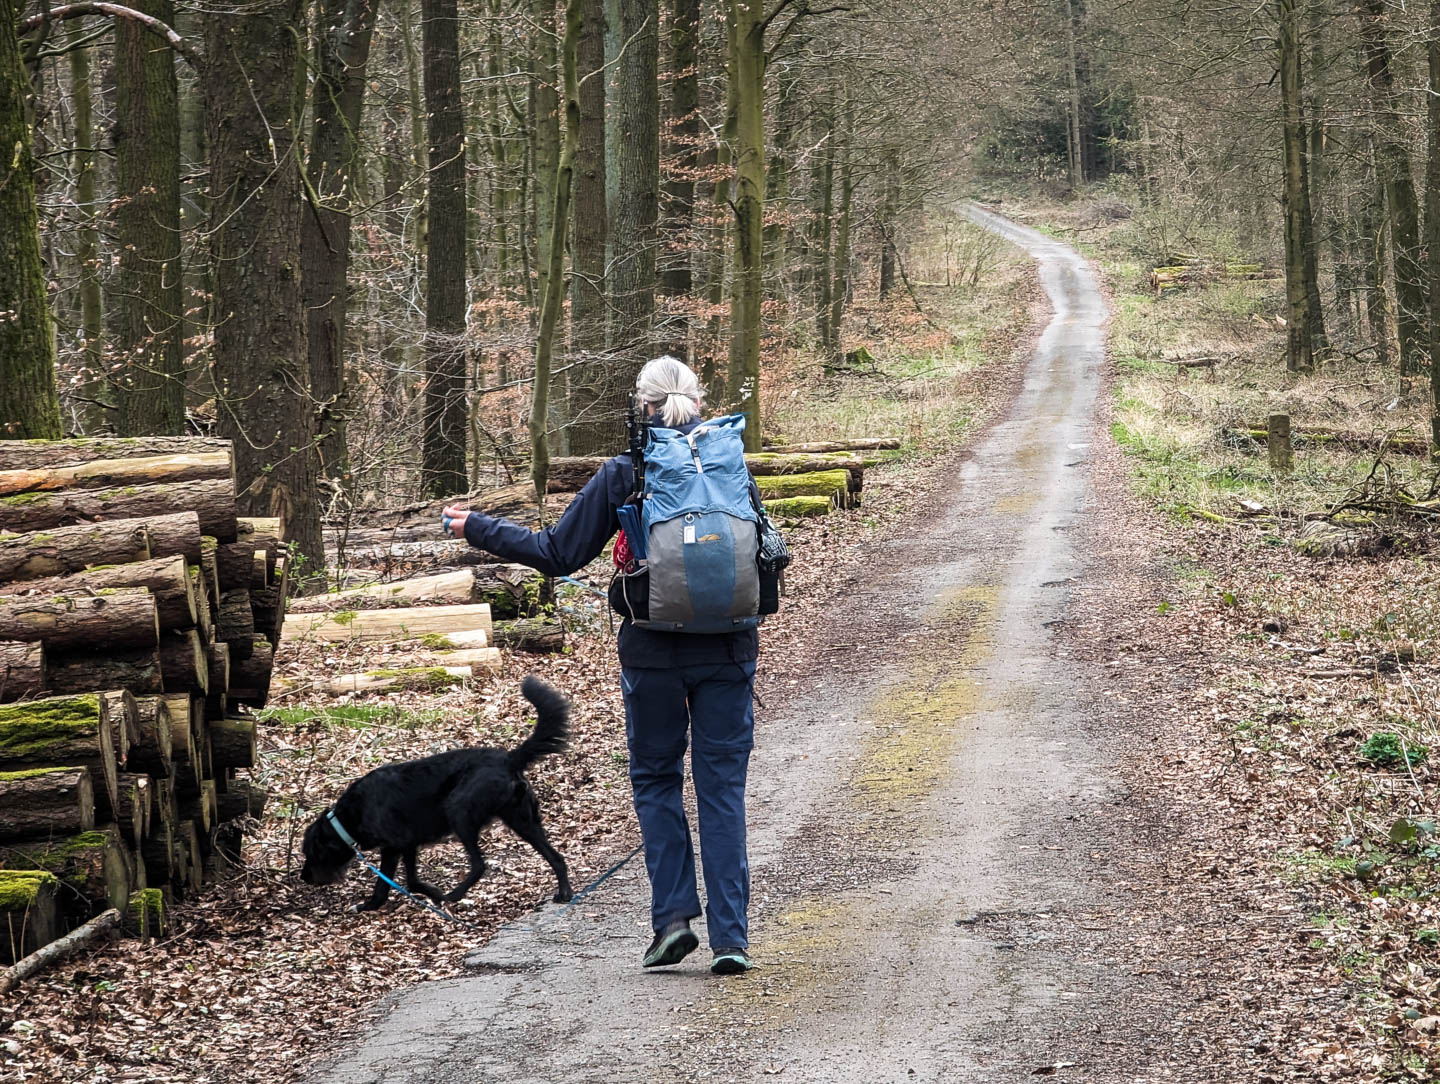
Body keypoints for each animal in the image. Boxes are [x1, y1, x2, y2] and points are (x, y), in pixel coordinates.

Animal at [299, 673, 573, 909]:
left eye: (310, 853)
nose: (304, 877)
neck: (348, 818)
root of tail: (508, 759)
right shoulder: (402, 847)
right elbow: (395, 884)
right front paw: (379, 904)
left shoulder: (399, 844)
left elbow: (403, 882)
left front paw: (432, 895)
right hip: (523, 819)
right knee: (557, 857)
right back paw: (564, 893)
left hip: (459, 812)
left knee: (479, 865)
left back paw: (455, 894)